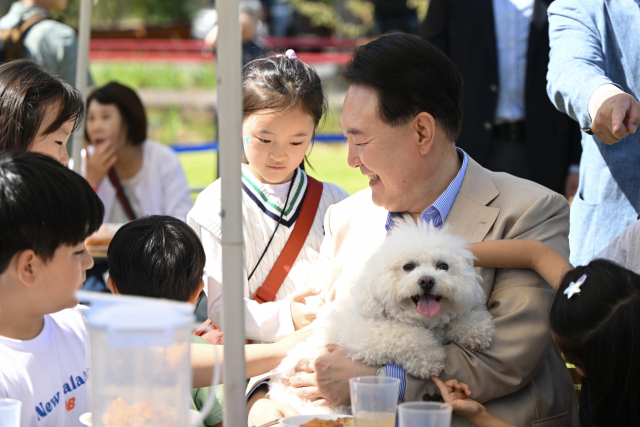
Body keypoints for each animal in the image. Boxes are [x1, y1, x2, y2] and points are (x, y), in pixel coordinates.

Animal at [268, 219, 498, 412]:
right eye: (408, 266)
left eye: (443, 266)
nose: (427, 280)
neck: (421, 322)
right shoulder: (360, 334)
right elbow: (402, 334)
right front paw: (429, 359)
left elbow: (462, 318)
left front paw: (476, 330)